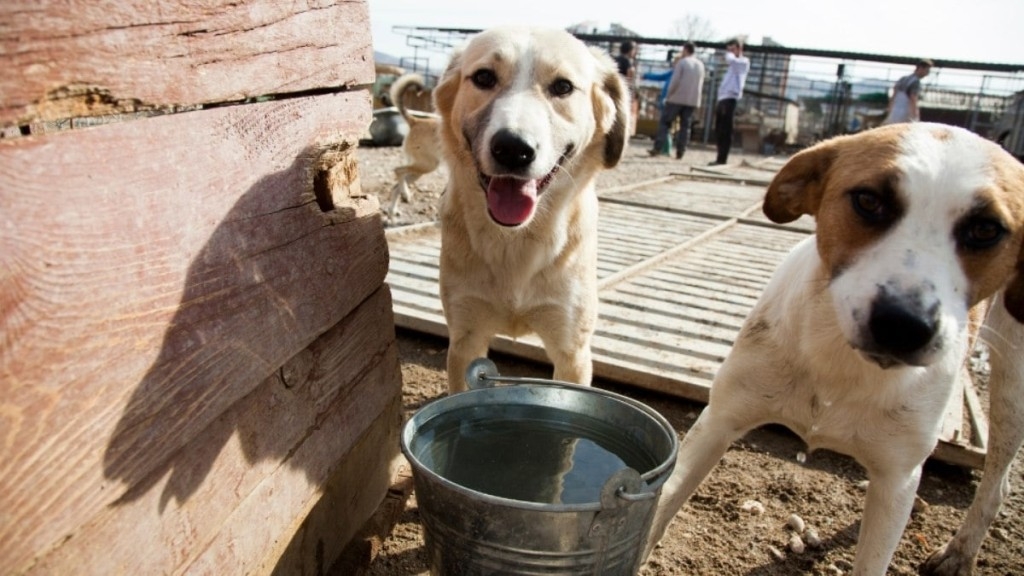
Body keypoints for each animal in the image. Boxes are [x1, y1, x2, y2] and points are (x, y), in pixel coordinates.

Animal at [647, 121, 1024, 573]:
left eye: (986, 229)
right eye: (868, 200)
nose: (903, 325)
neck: (839, 362)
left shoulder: (897, 476)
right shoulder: (719, 420)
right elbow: (660, 508)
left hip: (1012, 389)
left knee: (997, 484)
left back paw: (960, 552)